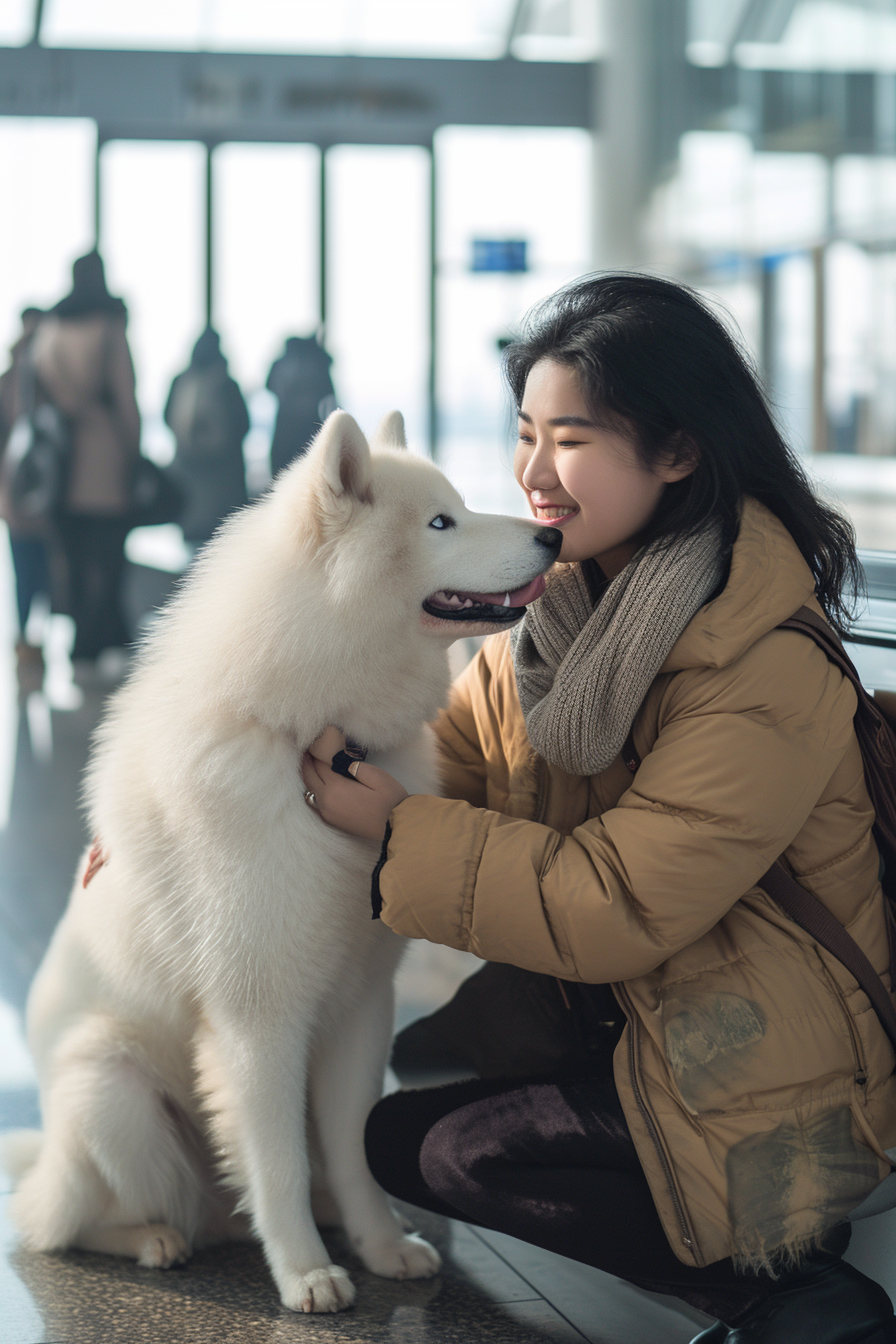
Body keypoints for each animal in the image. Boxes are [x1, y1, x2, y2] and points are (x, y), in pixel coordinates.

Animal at [5, 408, 561, 1311]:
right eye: (440, 522)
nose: (553, 533)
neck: (312, 742)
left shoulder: (361, 1008)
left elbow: (350, 1145)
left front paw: (377, 1245)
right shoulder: (259, 1019)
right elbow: (277, 1162)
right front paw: (303, 1273)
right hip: (110, 1089)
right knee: (69, 1221)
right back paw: (153, 1238)